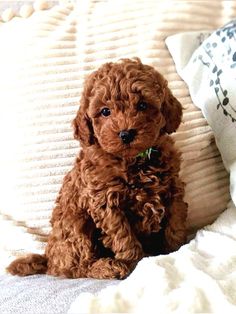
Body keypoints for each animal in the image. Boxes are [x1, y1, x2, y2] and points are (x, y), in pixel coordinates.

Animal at [7, 57, 187, 278]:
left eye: (143, 105)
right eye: (105, 111)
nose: (126, 134)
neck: (132, 161)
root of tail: (48, 259)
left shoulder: (173, 187)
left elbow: (175, 222)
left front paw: (176, 248)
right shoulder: (105, 202)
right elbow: (123, 237)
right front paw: (134, 261)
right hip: (74, 225)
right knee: (79, 265)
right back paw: (107, 267)